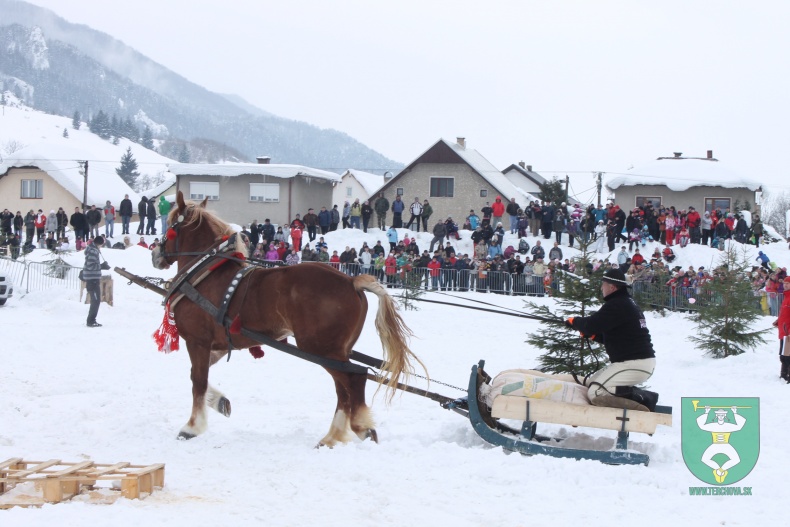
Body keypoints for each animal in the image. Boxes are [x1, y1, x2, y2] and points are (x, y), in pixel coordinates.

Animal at [152, 192, 424, 448]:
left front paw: (192, 427)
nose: (156, 254)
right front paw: (220, 402)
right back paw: (332, 436)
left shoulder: (197, 341)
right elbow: (198, 376)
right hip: (336, 350)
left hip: (320, 348)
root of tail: (351, 280)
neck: (205, 274)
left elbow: (198, 381)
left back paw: (359, 427)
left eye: (170, 225)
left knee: (354, 379)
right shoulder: (216, 345)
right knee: (343, 388)